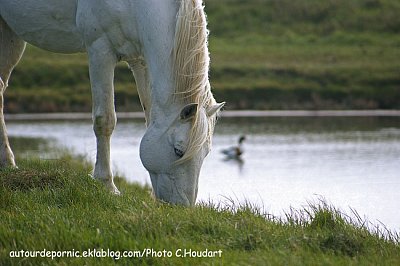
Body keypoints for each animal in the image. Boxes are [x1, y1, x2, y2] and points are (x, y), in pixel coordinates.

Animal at [0, 0, 223, 206]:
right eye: (178, 151)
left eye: (206, 153)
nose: (182, 206)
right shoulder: (100, 49)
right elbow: (104, 120)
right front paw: (107, 185)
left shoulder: (140, 59)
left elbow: (149, 117)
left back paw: (7, 162)